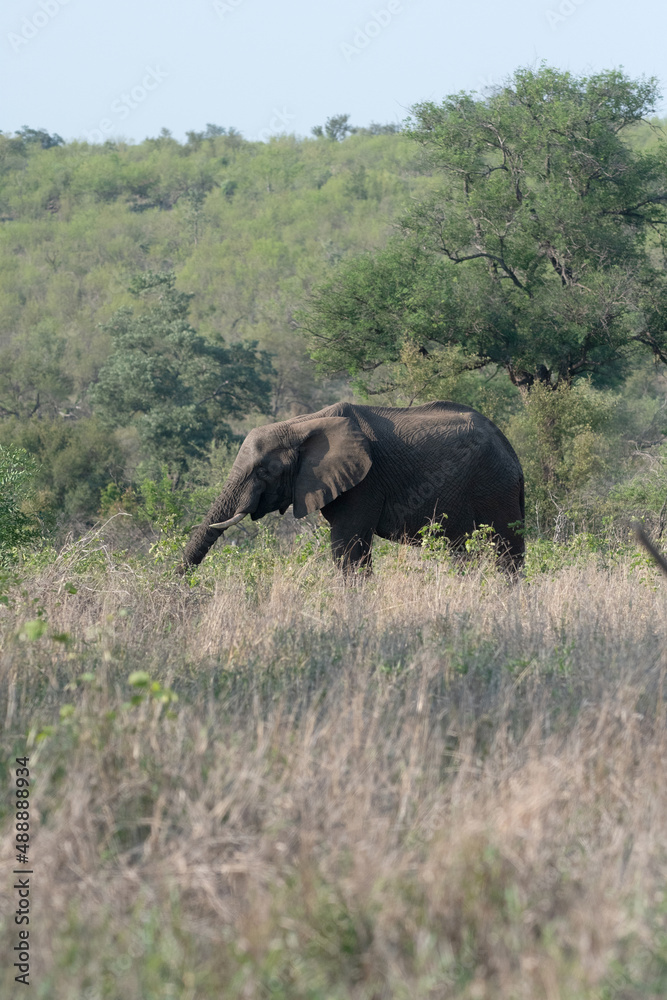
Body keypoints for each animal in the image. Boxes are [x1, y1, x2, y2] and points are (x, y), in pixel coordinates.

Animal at [181, 396, 528, 572]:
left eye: (264, 472)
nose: (181, 591)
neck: (302, 425)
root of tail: (511, 450)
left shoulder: (365, 482)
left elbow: (348, 547)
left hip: (494, 485)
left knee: (505, 549)